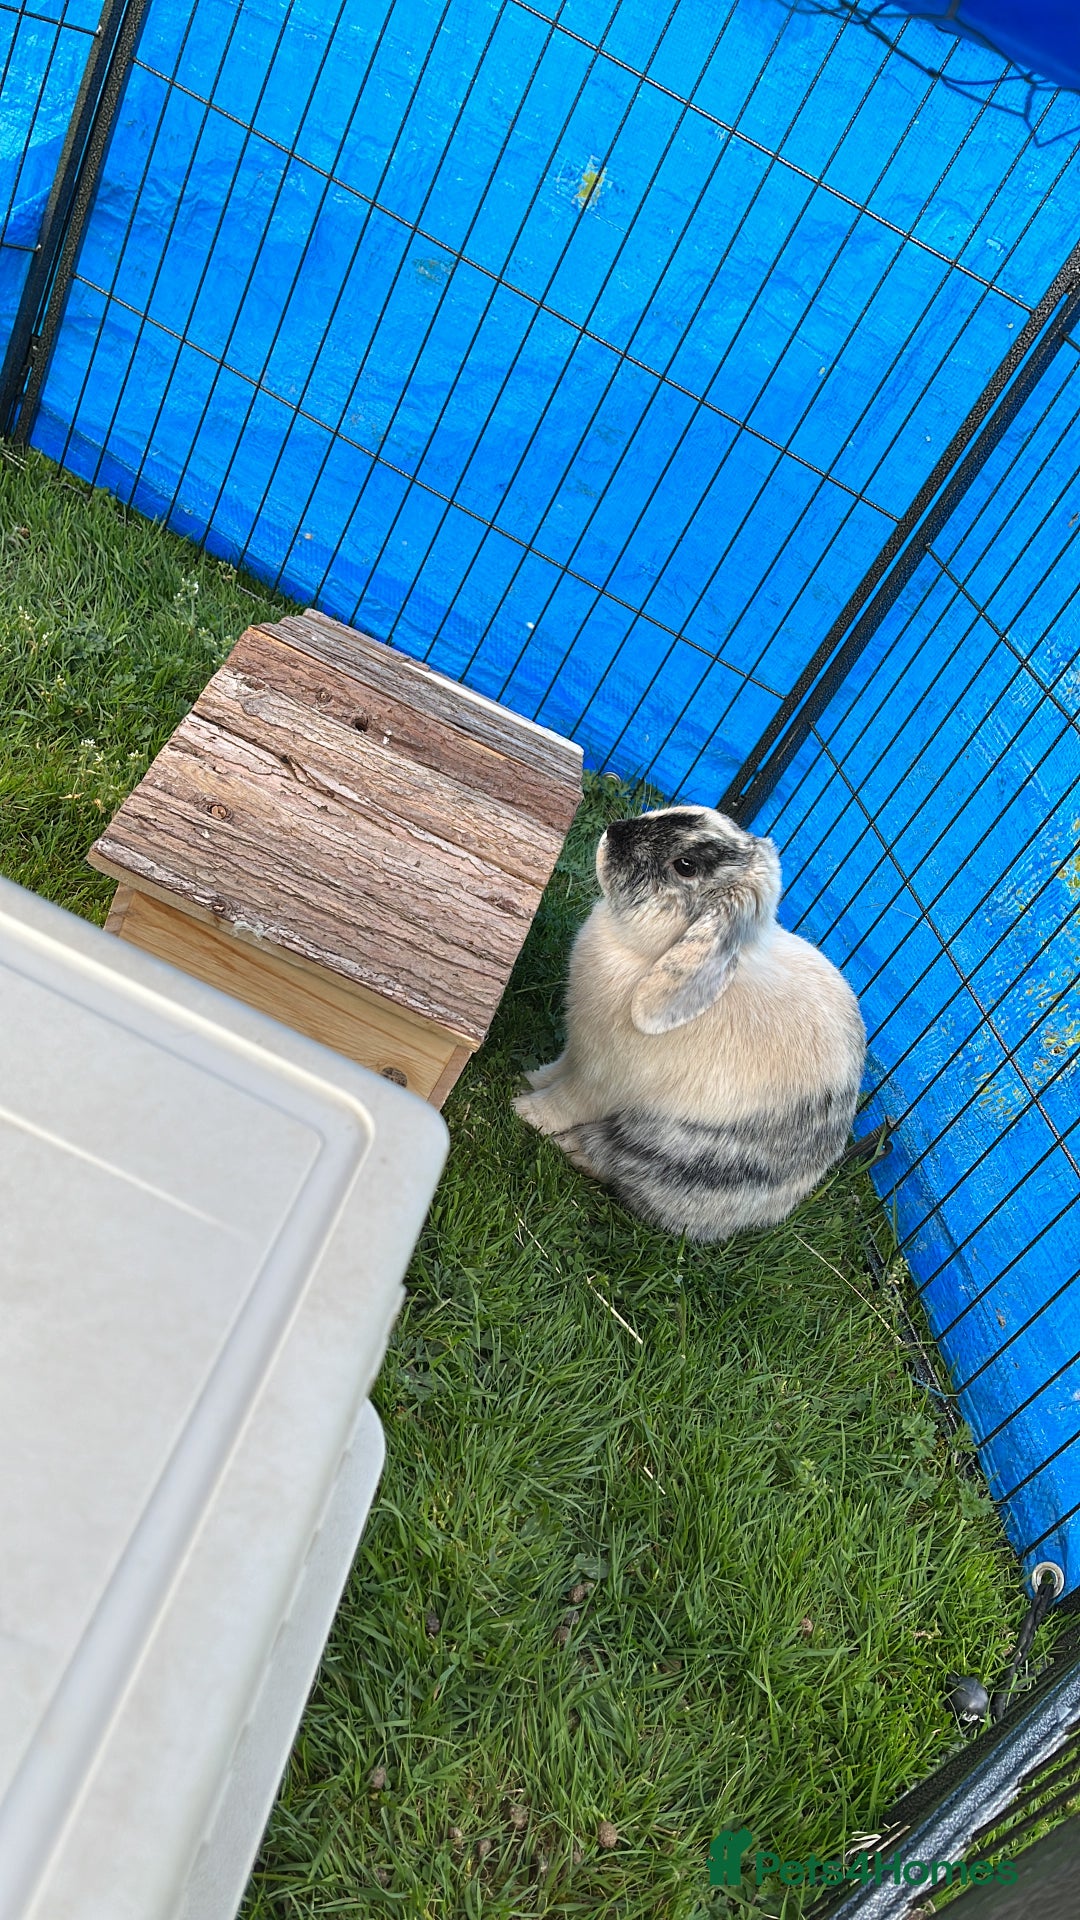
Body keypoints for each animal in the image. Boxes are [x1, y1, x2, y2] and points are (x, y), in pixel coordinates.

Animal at [513, 805, 866, 1242]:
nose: (614, 832)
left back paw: (571, 1147)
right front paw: (531, 1077)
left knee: (613, 1163)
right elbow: (556, 1069)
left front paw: (524, 1110)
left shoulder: (597, 1081)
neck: (648, 957)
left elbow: (563, 1102)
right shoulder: (575, 1054)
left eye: (686, 866)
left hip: (663, 1146)